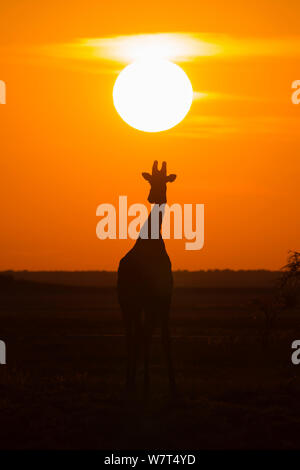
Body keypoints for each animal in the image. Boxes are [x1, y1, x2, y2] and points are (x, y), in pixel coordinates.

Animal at [117, 160, 177, 392]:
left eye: (165, 180)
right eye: (150, 180)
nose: (153, 197)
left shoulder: (163, 299)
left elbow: (165, 338)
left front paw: (172, 383)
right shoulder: (148, 300)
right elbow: (147, 336)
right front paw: (145, 382)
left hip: (138, 305)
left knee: (139, 334)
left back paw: (134, 380)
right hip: (127, 303)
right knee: (132, 336)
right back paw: (131, 381)